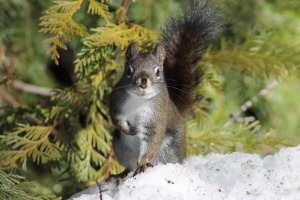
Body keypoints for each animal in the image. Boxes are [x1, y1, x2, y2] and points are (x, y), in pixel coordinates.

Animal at [109, 0, 221, 176]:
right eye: (129, 70)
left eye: (157, 71)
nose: (143, 81)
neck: (139, 100)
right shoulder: (116, 100)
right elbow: (115, 117)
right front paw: (127, 129)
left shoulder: (157, 115)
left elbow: (153, 139)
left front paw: (143, 163)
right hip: (119, 146)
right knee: (128, 165)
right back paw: (121, 174)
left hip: (169, 149)